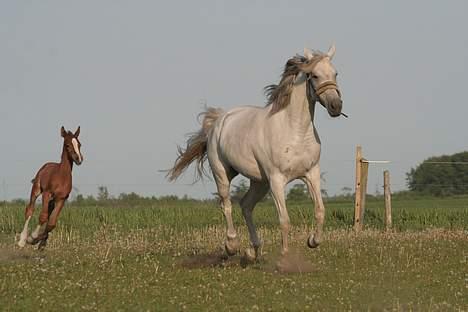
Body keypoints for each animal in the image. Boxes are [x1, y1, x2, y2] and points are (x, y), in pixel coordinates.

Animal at [168, 45, 344, 260]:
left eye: (335, 73)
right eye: (315, 75)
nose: (336, 106)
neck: (295, 131)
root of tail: (220, 120)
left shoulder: (311, 174)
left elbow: (320, 211)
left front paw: (312, 241)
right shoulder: (277, 179)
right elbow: (284, 219)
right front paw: (285, 257)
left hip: (260, 182)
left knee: (246, 205)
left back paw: (253, 250)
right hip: (223, 174)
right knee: (226, 204)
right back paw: (232, 245)